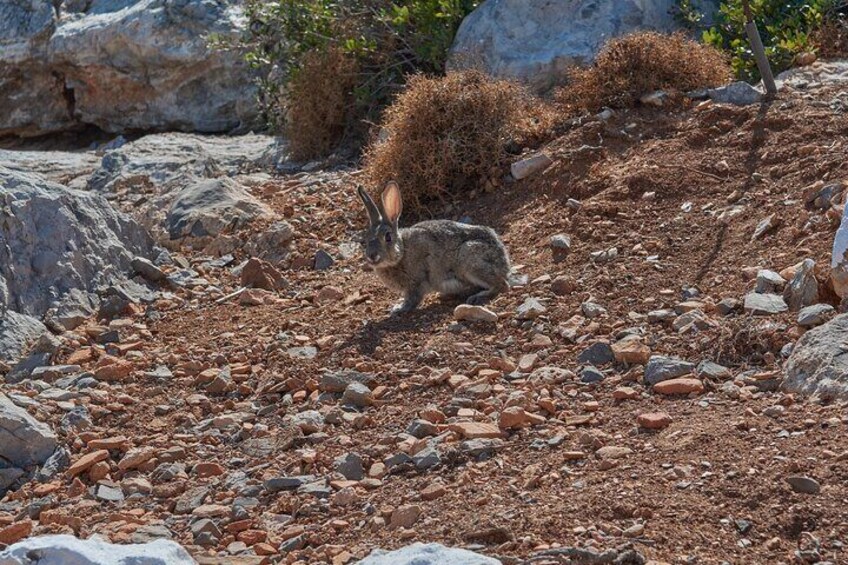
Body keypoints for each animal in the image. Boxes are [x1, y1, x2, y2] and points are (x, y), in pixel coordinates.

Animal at [354, 181, 520, 312]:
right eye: (365, 239)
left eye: (387, 237)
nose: (372, 255)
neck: (401, 252)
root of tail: (504, 262)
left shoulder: (416, 282)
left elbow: (412, 299)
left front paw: (398, 309)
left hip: (469, 259)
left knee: (502, 285)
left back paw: (477, 297)